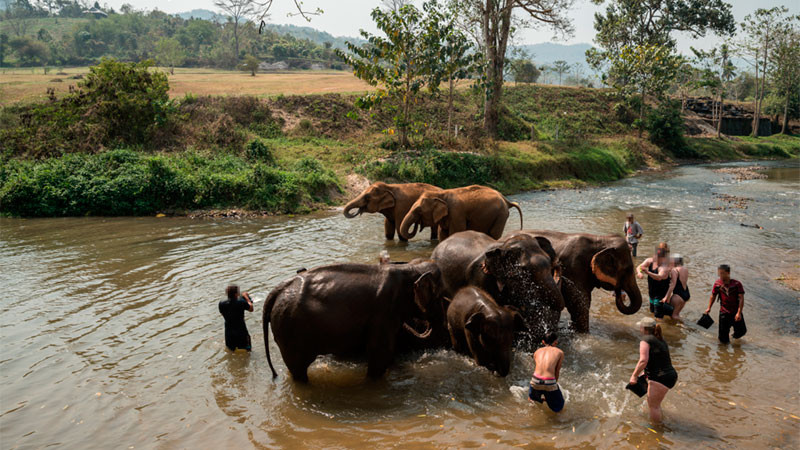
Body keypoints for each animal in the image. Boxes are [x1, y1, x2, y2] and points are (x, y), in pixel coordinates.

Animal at [262, 260, 442, 382]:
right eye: (440, 294)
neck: (407, 268)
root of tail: (277, 289)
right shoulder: (383, 313)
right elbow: (381, 354)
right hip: (289, 328)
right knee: (298, 368)